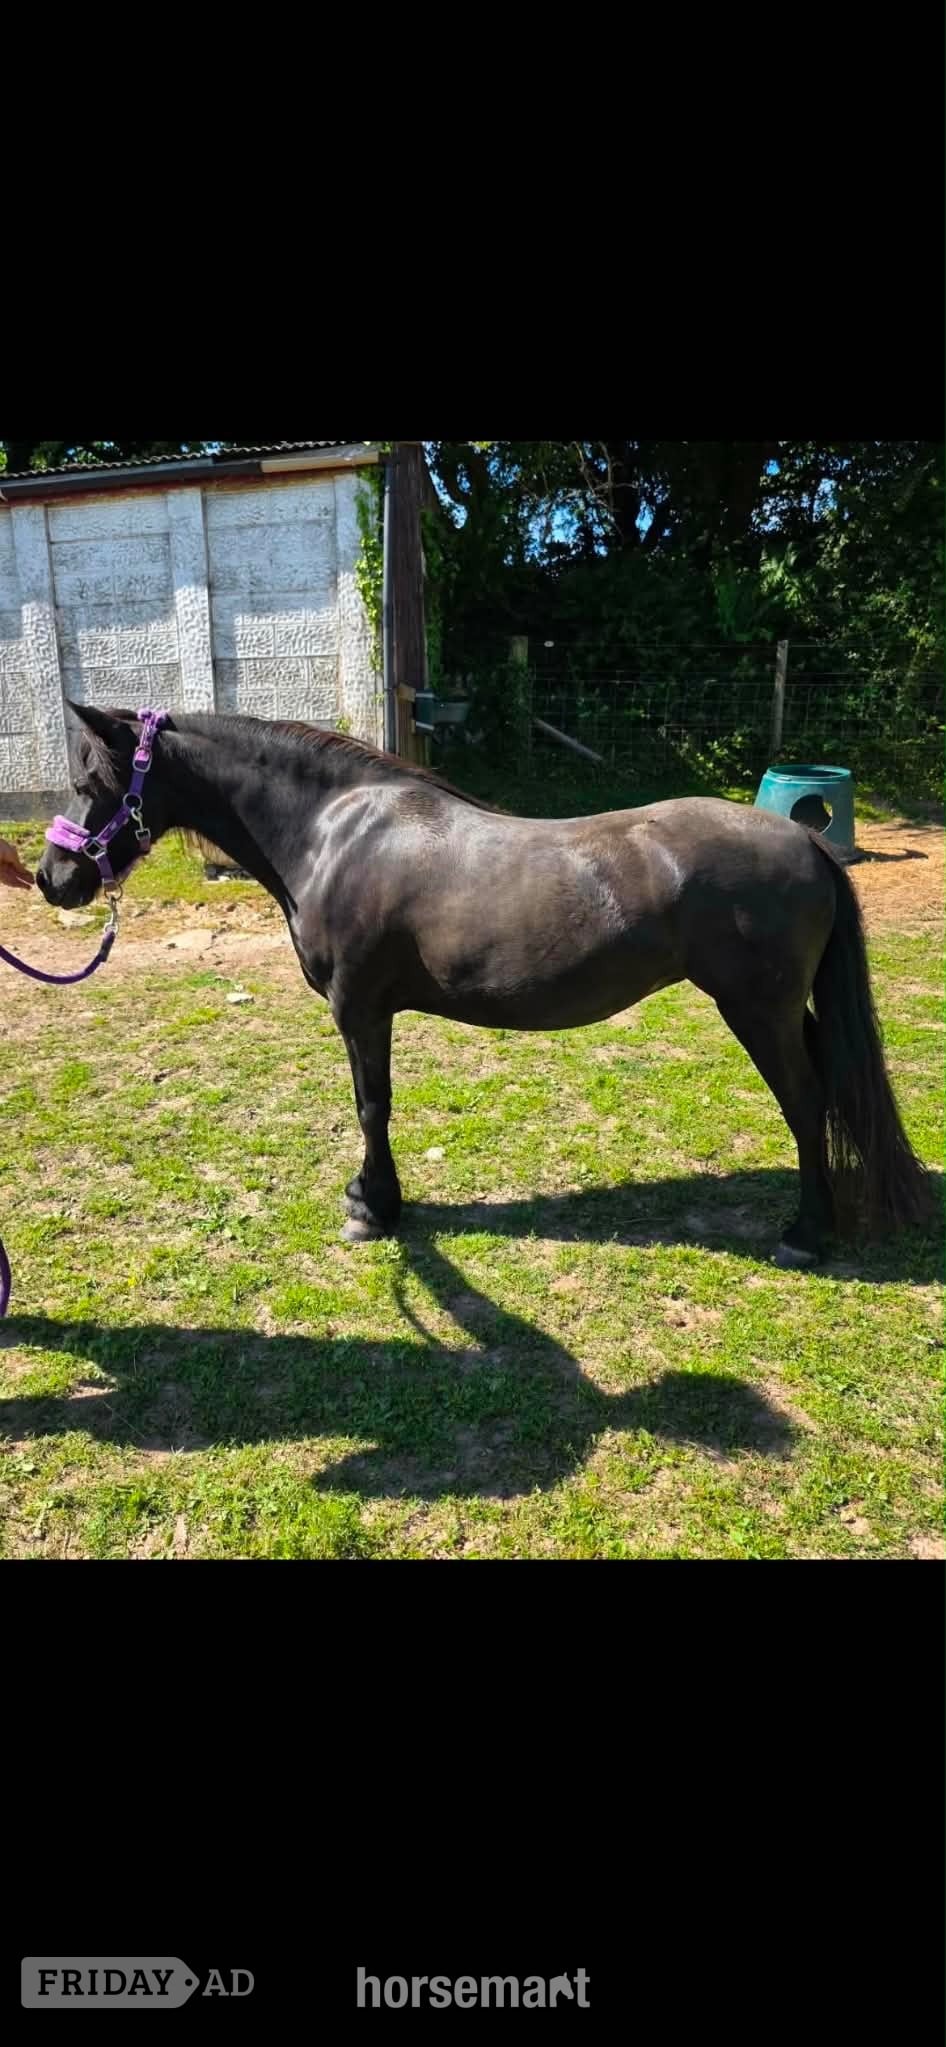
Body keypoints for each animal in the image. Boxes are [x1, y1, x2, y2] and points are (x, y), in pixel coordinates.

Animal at [37, 703, 931, 1268]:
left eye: (92, 784)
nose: (52, 879)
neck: (333, 830)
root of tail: (804, 839)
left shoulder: (360, 1008)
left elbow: (371, 1104)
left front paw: (373, 1207)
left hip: (760, 1012)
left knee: (807, 1102)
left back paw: (805, 1232)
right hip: (789, 1011)